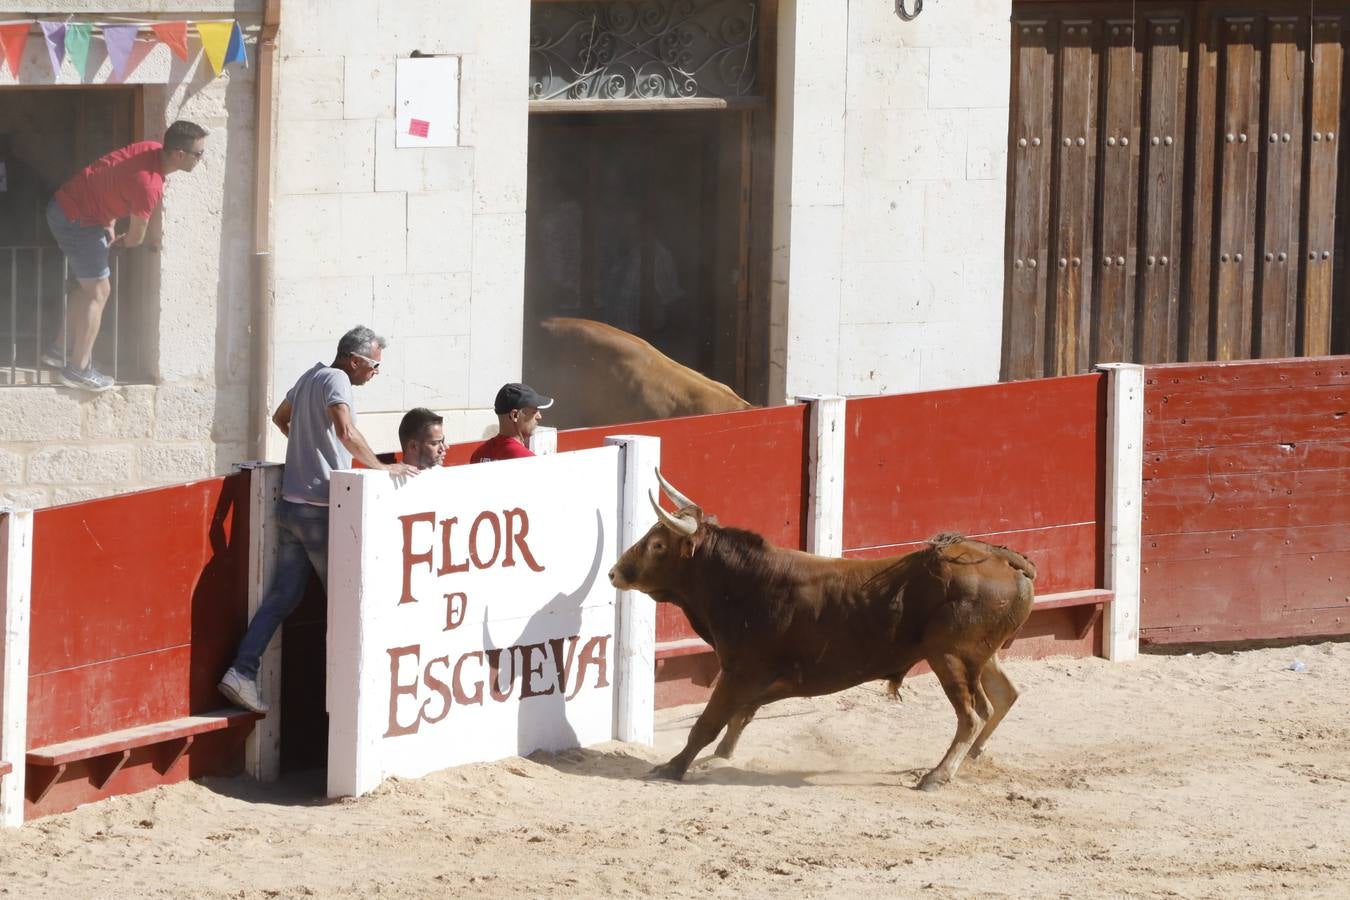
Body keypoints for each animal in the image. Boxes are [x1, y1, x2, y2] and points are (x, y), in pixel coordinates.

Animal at [607, 472, 1036, 788]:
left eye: (658, 544)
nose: (614, 572)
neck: (744, 582)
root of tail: (1002, 558)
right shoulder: (753, 679)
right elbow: (739, 717)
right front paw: (716, 759)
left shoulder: (740, 671)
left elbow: (708, 722)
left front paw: (672, 767)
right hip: (980, 655)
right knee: (1004, 697)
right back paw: (972, 758)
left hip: (949, 656)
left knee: (972, 715)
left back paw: (938, 775)